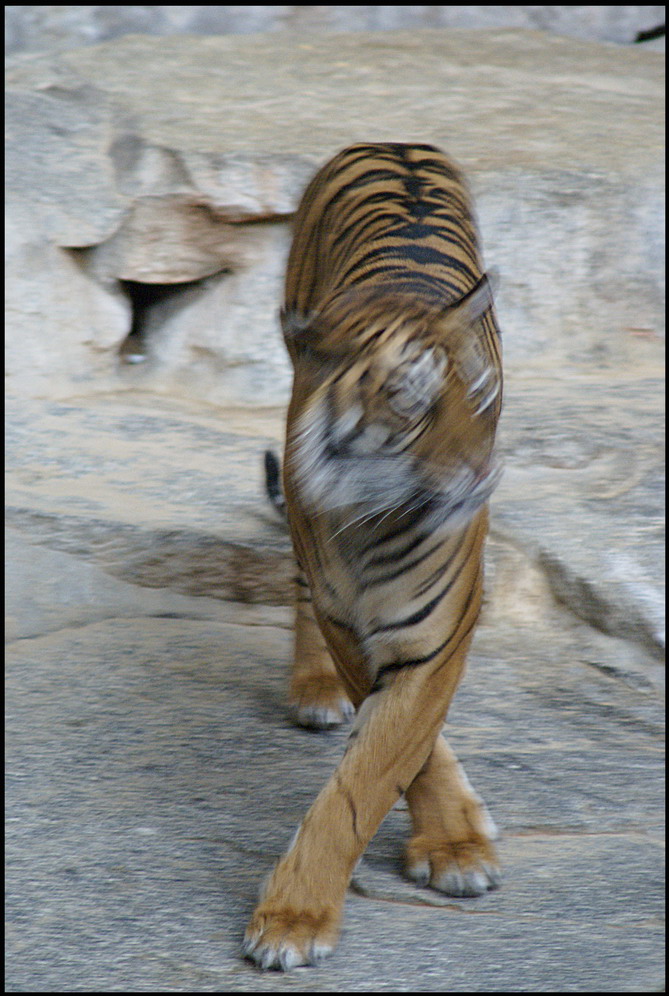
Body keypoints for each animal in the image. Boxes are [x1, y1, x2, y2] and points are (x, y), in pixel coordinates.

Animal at [244, 144, 500, 968]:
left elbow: (374, 770)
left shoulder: (436, 636)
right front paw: (295, 920)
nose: (482, 475)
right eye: (410, 400)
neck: (374, 516)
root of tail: (397, 142)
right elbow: (385, 760)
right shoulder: (350, 625)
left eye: (481, 394)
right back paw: (314, 688)